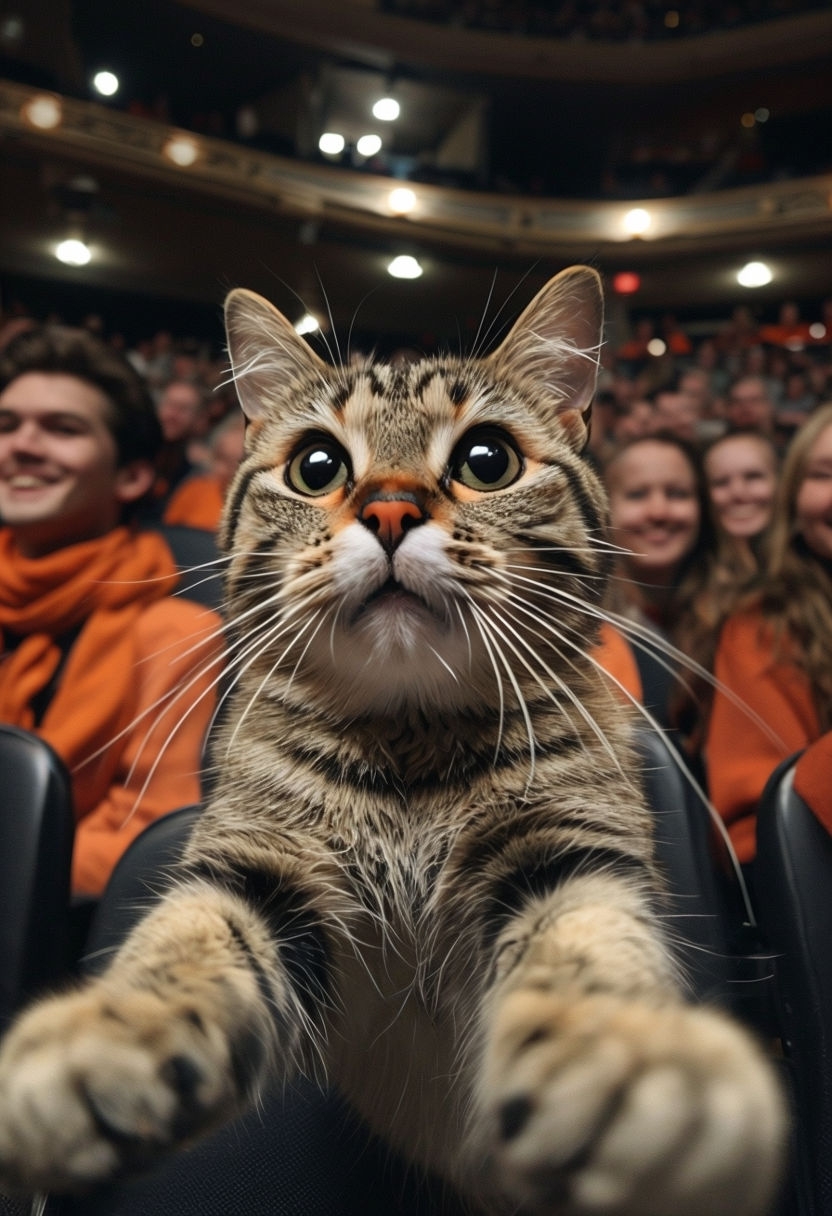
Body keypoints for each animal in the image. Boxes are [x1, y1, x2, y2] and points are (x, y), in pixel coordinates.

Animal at [0, 268, 788, 1216]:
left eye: (488, 460)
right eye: (316, 465)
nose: (388, 509)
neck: (411, 744)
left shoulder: (567, 842)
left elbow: (589, 939)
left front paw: (626, 1052)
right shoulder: (265, 860)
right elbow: (191, 934)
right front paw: (110, 1032)